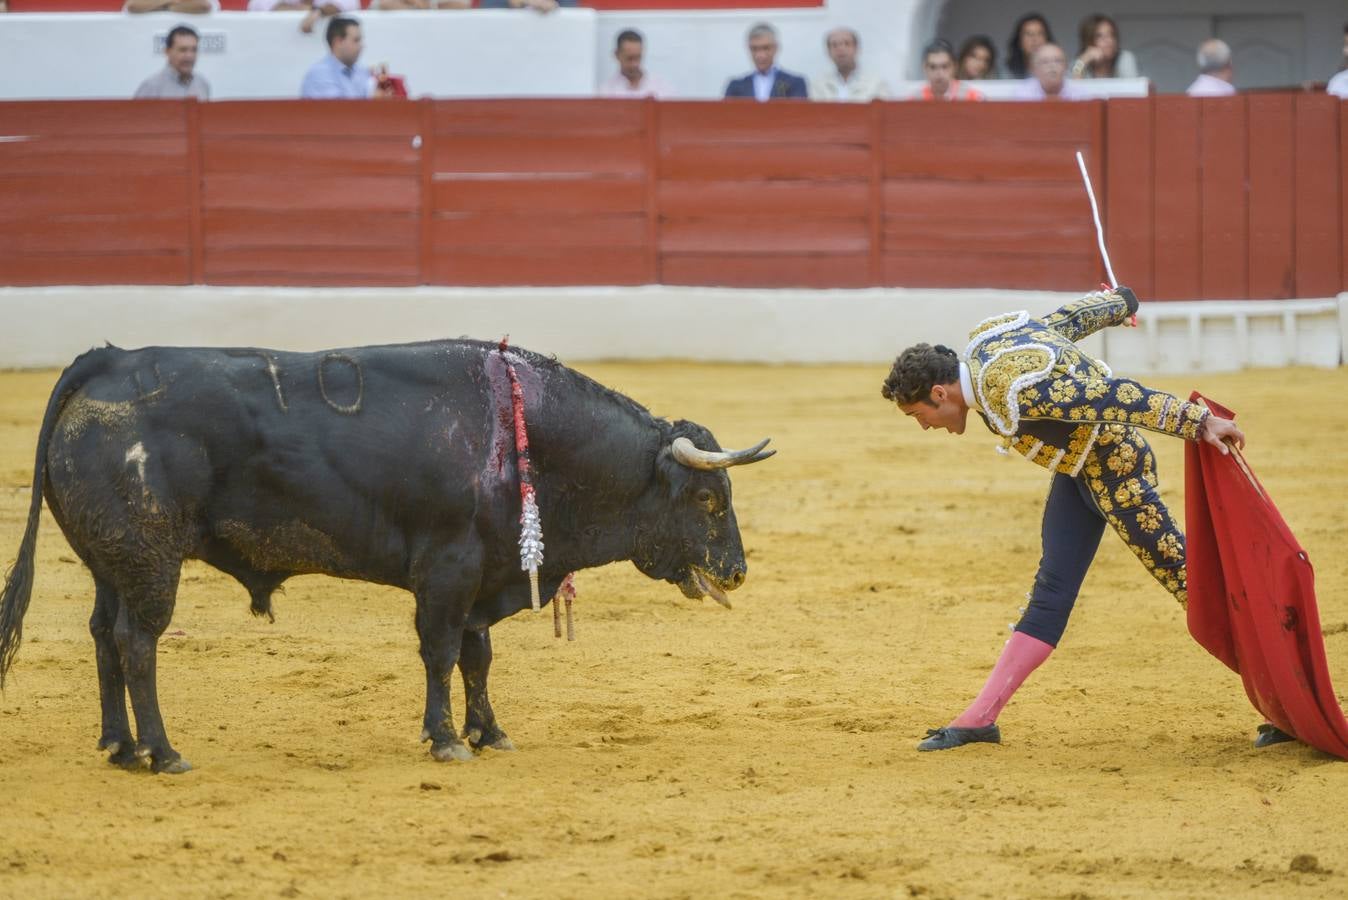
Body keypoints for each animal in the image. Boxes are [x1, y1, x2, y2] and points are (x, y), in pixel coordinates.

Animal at [0, 339, 771, 776]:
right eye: (709, 499)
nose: (737, 572)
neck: (525, 439)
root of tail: (107, 361)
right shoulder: (448, 571)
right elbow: (441, 652)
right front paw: (445, 740)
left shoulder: (483, 576)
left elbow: (477, 656)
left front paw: (489, 733)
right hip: (150, 560)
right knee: (138, 642)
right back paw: (162, 754)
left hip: (112, 563)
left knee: (104, 636)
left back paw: (119, 747)